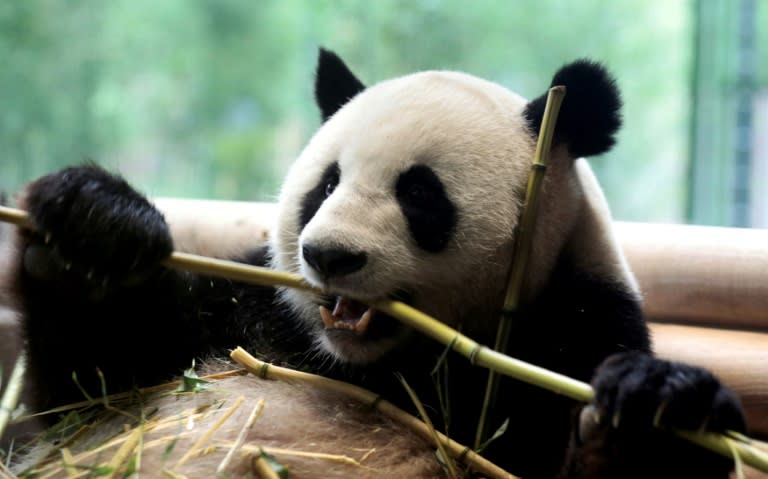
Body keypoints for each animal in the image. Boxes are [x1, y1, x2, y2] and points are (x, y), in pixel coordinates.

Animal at [7, 49, 744, 479]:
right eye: (326, 185)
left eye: (419, 194)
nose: (328, 255)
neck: (376, 364)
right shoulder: (251, 309)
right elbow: (96, 392)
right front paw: (93, 235)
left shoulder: (574, 327)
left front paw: (655, 410)